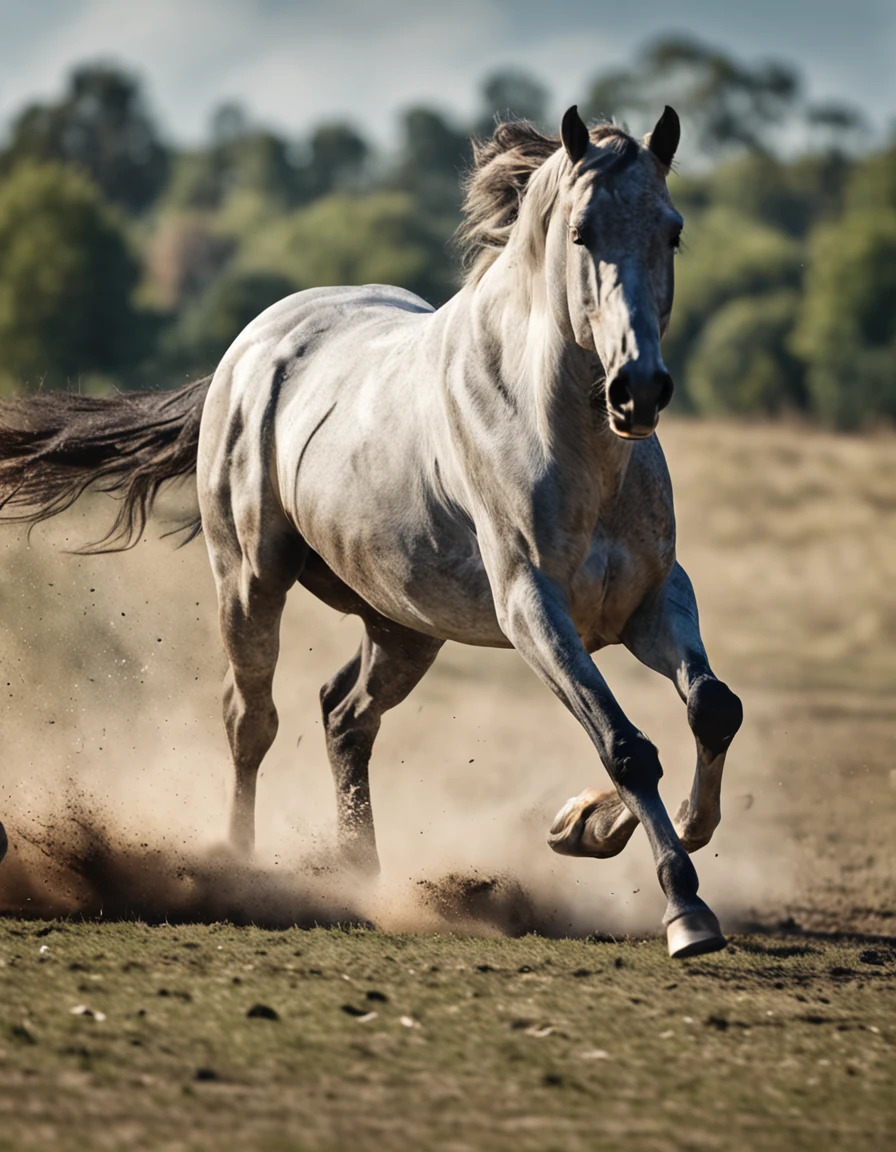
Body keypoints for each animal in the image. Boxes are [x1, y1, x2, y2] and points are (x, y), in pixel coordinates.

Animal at [0, 105, 741, 953]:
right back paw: (243, 870)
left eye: (672, 232)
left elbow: (712, 710)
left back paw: (361, 876)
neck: (573, 443)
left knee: (345, 718)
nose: (638, 390)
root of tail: (249, 347)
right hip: (250, 581)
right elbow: (625, 744)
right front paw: (682, 906)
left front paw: (582, 826)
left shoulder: (652, 600)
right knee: (252, 719)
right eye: (581, 232)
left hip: (405, 624)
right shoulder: (532, 608)